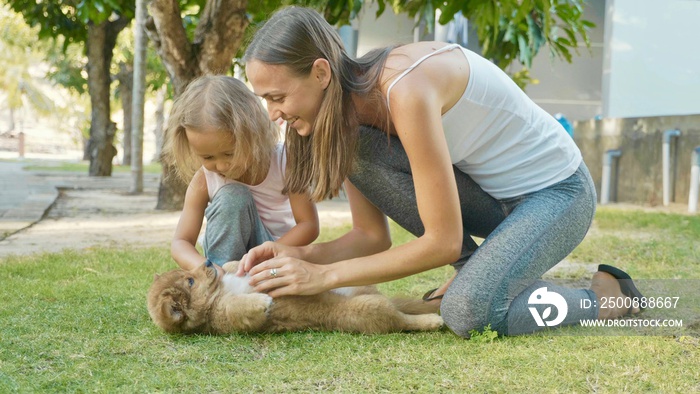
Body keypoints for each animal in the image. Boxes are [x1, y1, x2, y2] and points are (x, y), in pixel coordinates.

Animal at [147, 260, 442, 334]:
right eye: (190, 281)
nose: (208, 260)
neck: (220, 291)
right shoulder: (227, 315)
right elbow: (241, 307)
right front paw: (263, 301)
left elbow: (235, 265)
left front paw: (234, 264)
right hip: (369, 307)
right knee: (403, 320)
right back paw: (434, 320)